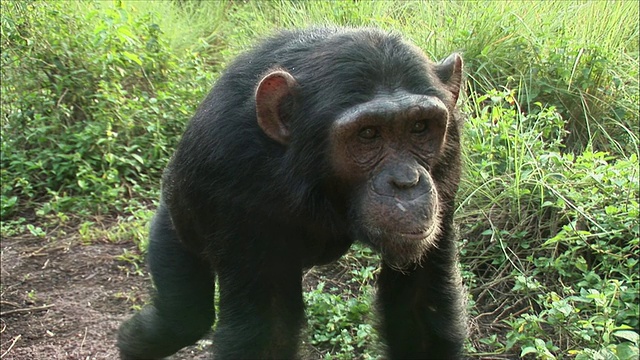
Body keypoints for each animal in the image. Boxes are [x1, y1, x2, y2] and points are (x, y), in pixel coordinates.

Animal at [117, 26, 468, 358]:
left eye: (419, 127)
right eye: (368, 134)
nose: (406, 181)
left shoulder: (447, 170)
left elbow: (419, 304)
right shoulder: (233, 174)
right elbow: (267, 330)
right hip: (171, 226)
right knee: (181, 319)